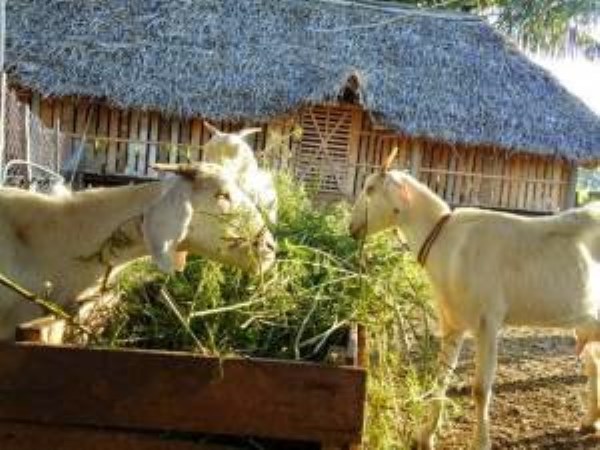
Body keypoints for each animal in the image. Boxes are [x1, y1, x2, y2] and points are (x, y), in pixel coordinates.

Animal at [350, 156, 596, 450]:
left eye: (370, 188)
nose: (350, 226)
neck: (447, 242)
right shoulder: (452, 321)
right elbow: (441, 377)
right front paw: (425, 435)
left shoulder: (488, 321)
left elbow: (480, 389)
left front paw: (480, 441)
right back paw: (590, 421)